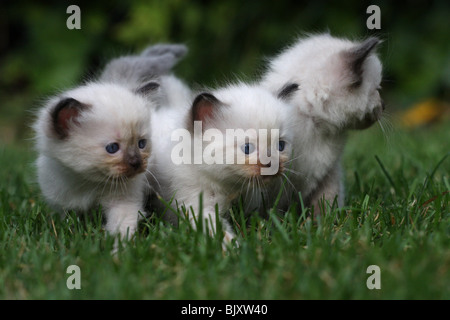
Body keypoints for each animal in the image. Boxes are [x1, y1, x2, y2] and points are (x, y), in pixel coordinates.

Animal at [32, 44, 185, 238]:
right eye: (112, 148)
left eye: (141, 144)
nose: (136, 163)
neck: (87, 183)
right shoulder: (64, 206)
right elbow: (70, 224)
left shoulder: (123, 201)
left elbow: (122, 227)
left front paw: (119, 245)